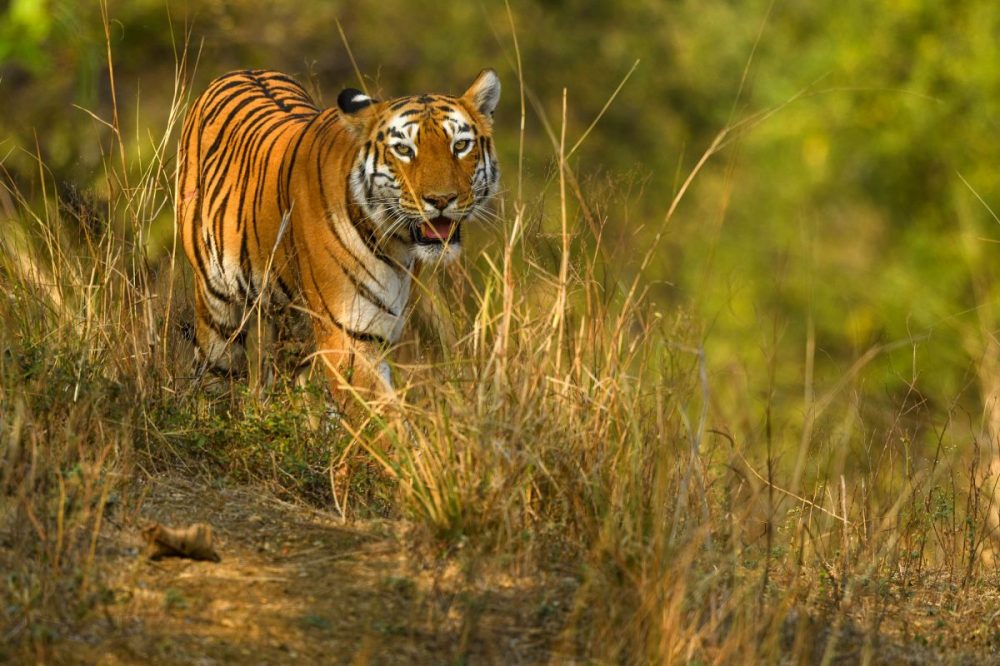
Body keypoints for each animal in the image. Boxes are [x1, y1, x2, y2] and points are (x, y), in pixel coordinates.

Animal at [178, 68, 500, 400]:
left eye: (460, 146)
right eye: (403, 150)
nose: (441, 200)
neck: (396, 244)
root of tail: (242, 71)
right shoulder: (348, 334)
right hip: (218, 314)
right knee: (216, 372)